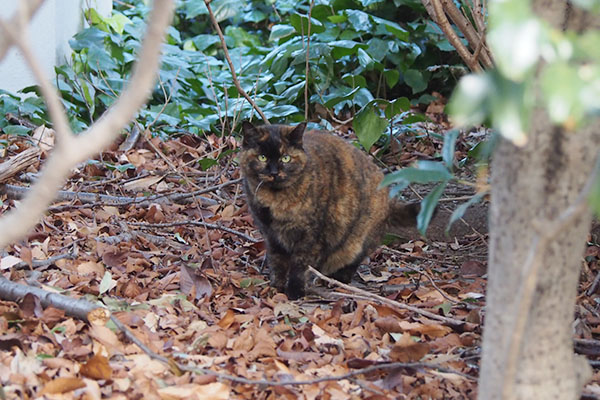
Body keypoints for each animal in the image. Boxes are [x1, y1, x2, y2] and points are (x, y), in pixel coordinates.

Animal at [239, 122, 418, 300]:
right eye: (262, 157)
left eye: (286, 158)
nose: (274, 172)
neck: (275, 200)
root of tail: (390, 199)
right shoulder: (271, 235)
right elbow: (277, 261)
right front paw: (277, 286)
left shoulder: (310, 236)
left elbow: (299, 265)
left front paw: (295, 291)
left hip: (359, 240)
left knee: (351, 262)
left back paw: (335, 280)